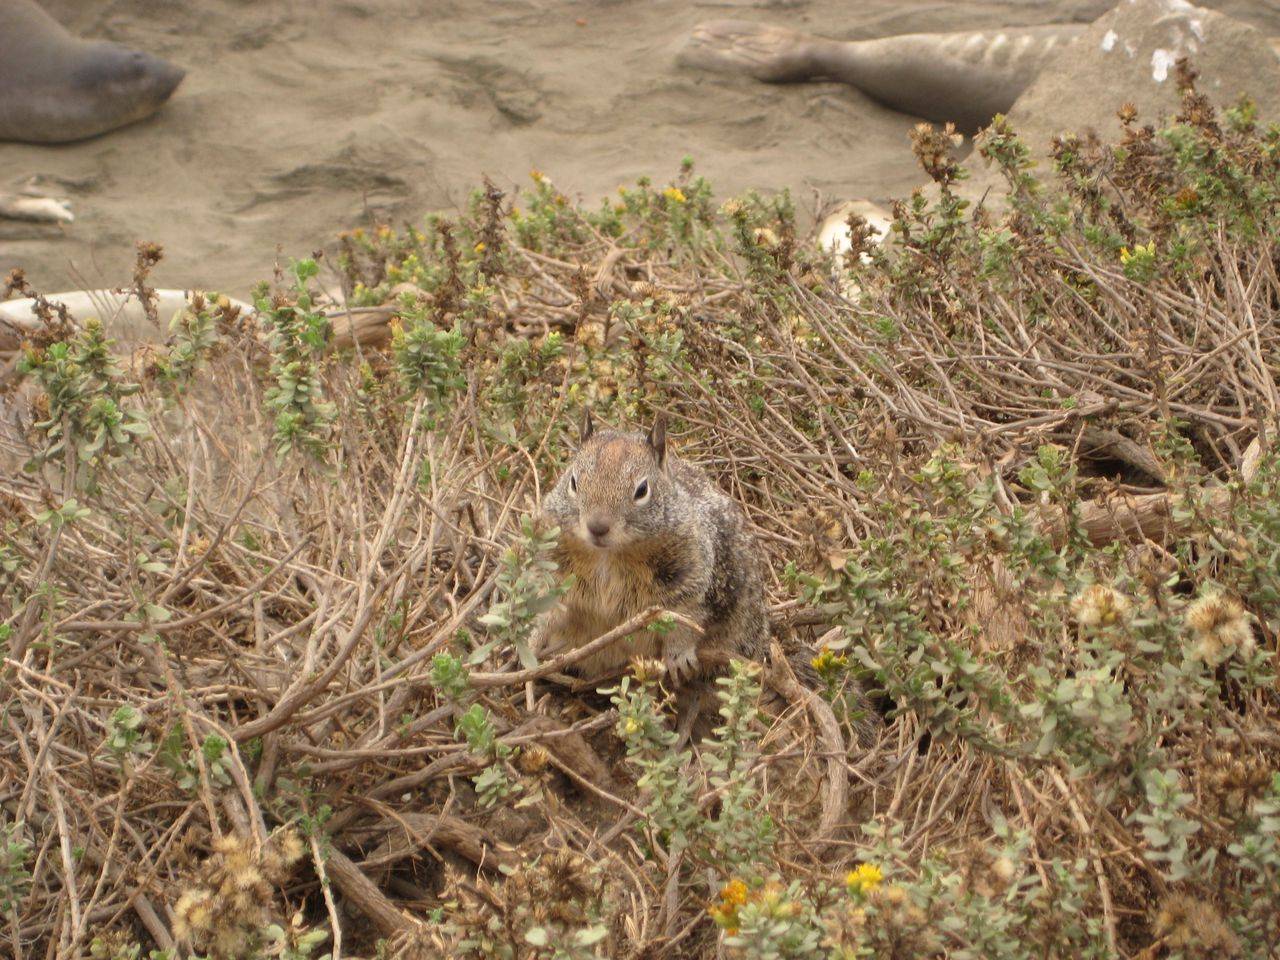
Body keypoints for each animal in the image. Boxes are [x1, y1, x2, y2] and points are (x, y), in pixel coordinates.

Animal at [535, 414, 762, 691]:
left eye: (642, 490)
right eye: (573, 482)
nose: (597, 527)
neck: (608, 556)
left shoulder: (690, 579)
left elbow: (685, 618)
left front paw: (679, 655)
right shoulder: (555, 569)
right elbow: (549, 607)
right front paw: (531, 641)